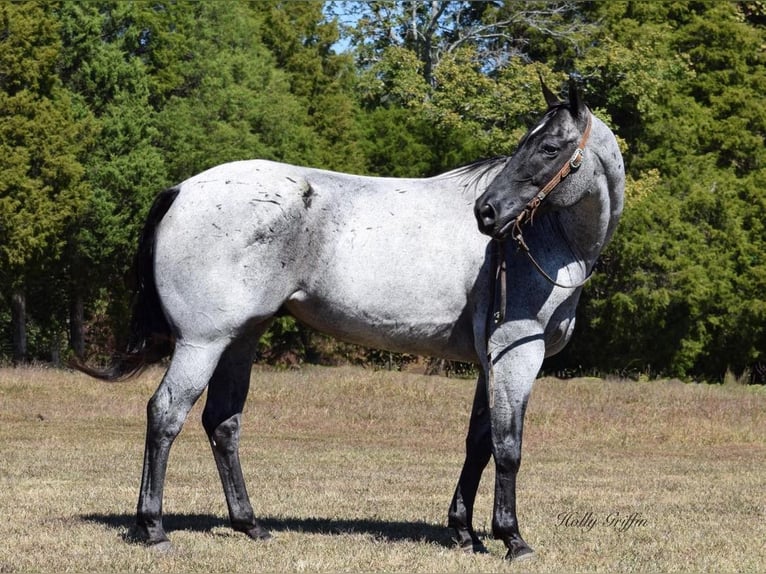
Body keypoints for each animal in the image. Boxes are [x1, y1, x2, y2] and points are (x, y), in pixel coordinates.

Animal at [76, 81, 624, 564]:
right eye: (528, 144)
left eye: (549, 146)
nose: (487, 213)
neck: (552, 239)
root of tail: (182, 189)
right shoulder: (517, 356)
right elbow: (508, 448)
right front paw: (512, 538)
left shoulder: (491, 362)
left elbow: (478, 444)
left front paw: (463, 532)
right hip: (202, 343)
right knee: (165, 415)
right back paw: (153, 528)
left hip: (240, 339)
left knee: (223, 423)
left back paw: (250, 525)